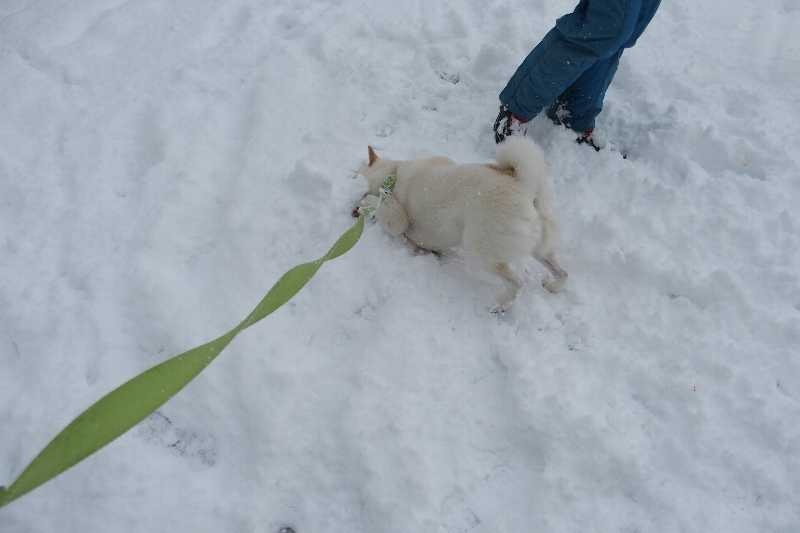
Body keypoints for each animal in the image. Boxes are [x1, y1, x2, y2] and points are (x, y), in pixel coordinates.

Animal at [360, 137, 564, 312]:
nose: (354, 207)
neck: (393, 175)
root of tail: (523, 185)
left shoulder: (397, 219)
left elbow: (383, 209)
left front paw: (365, 203)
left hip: (481, 251)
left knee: (517, 282)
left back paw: (499, 306)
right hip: (539, 248)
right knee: (561, 271)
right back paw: (554, 286)